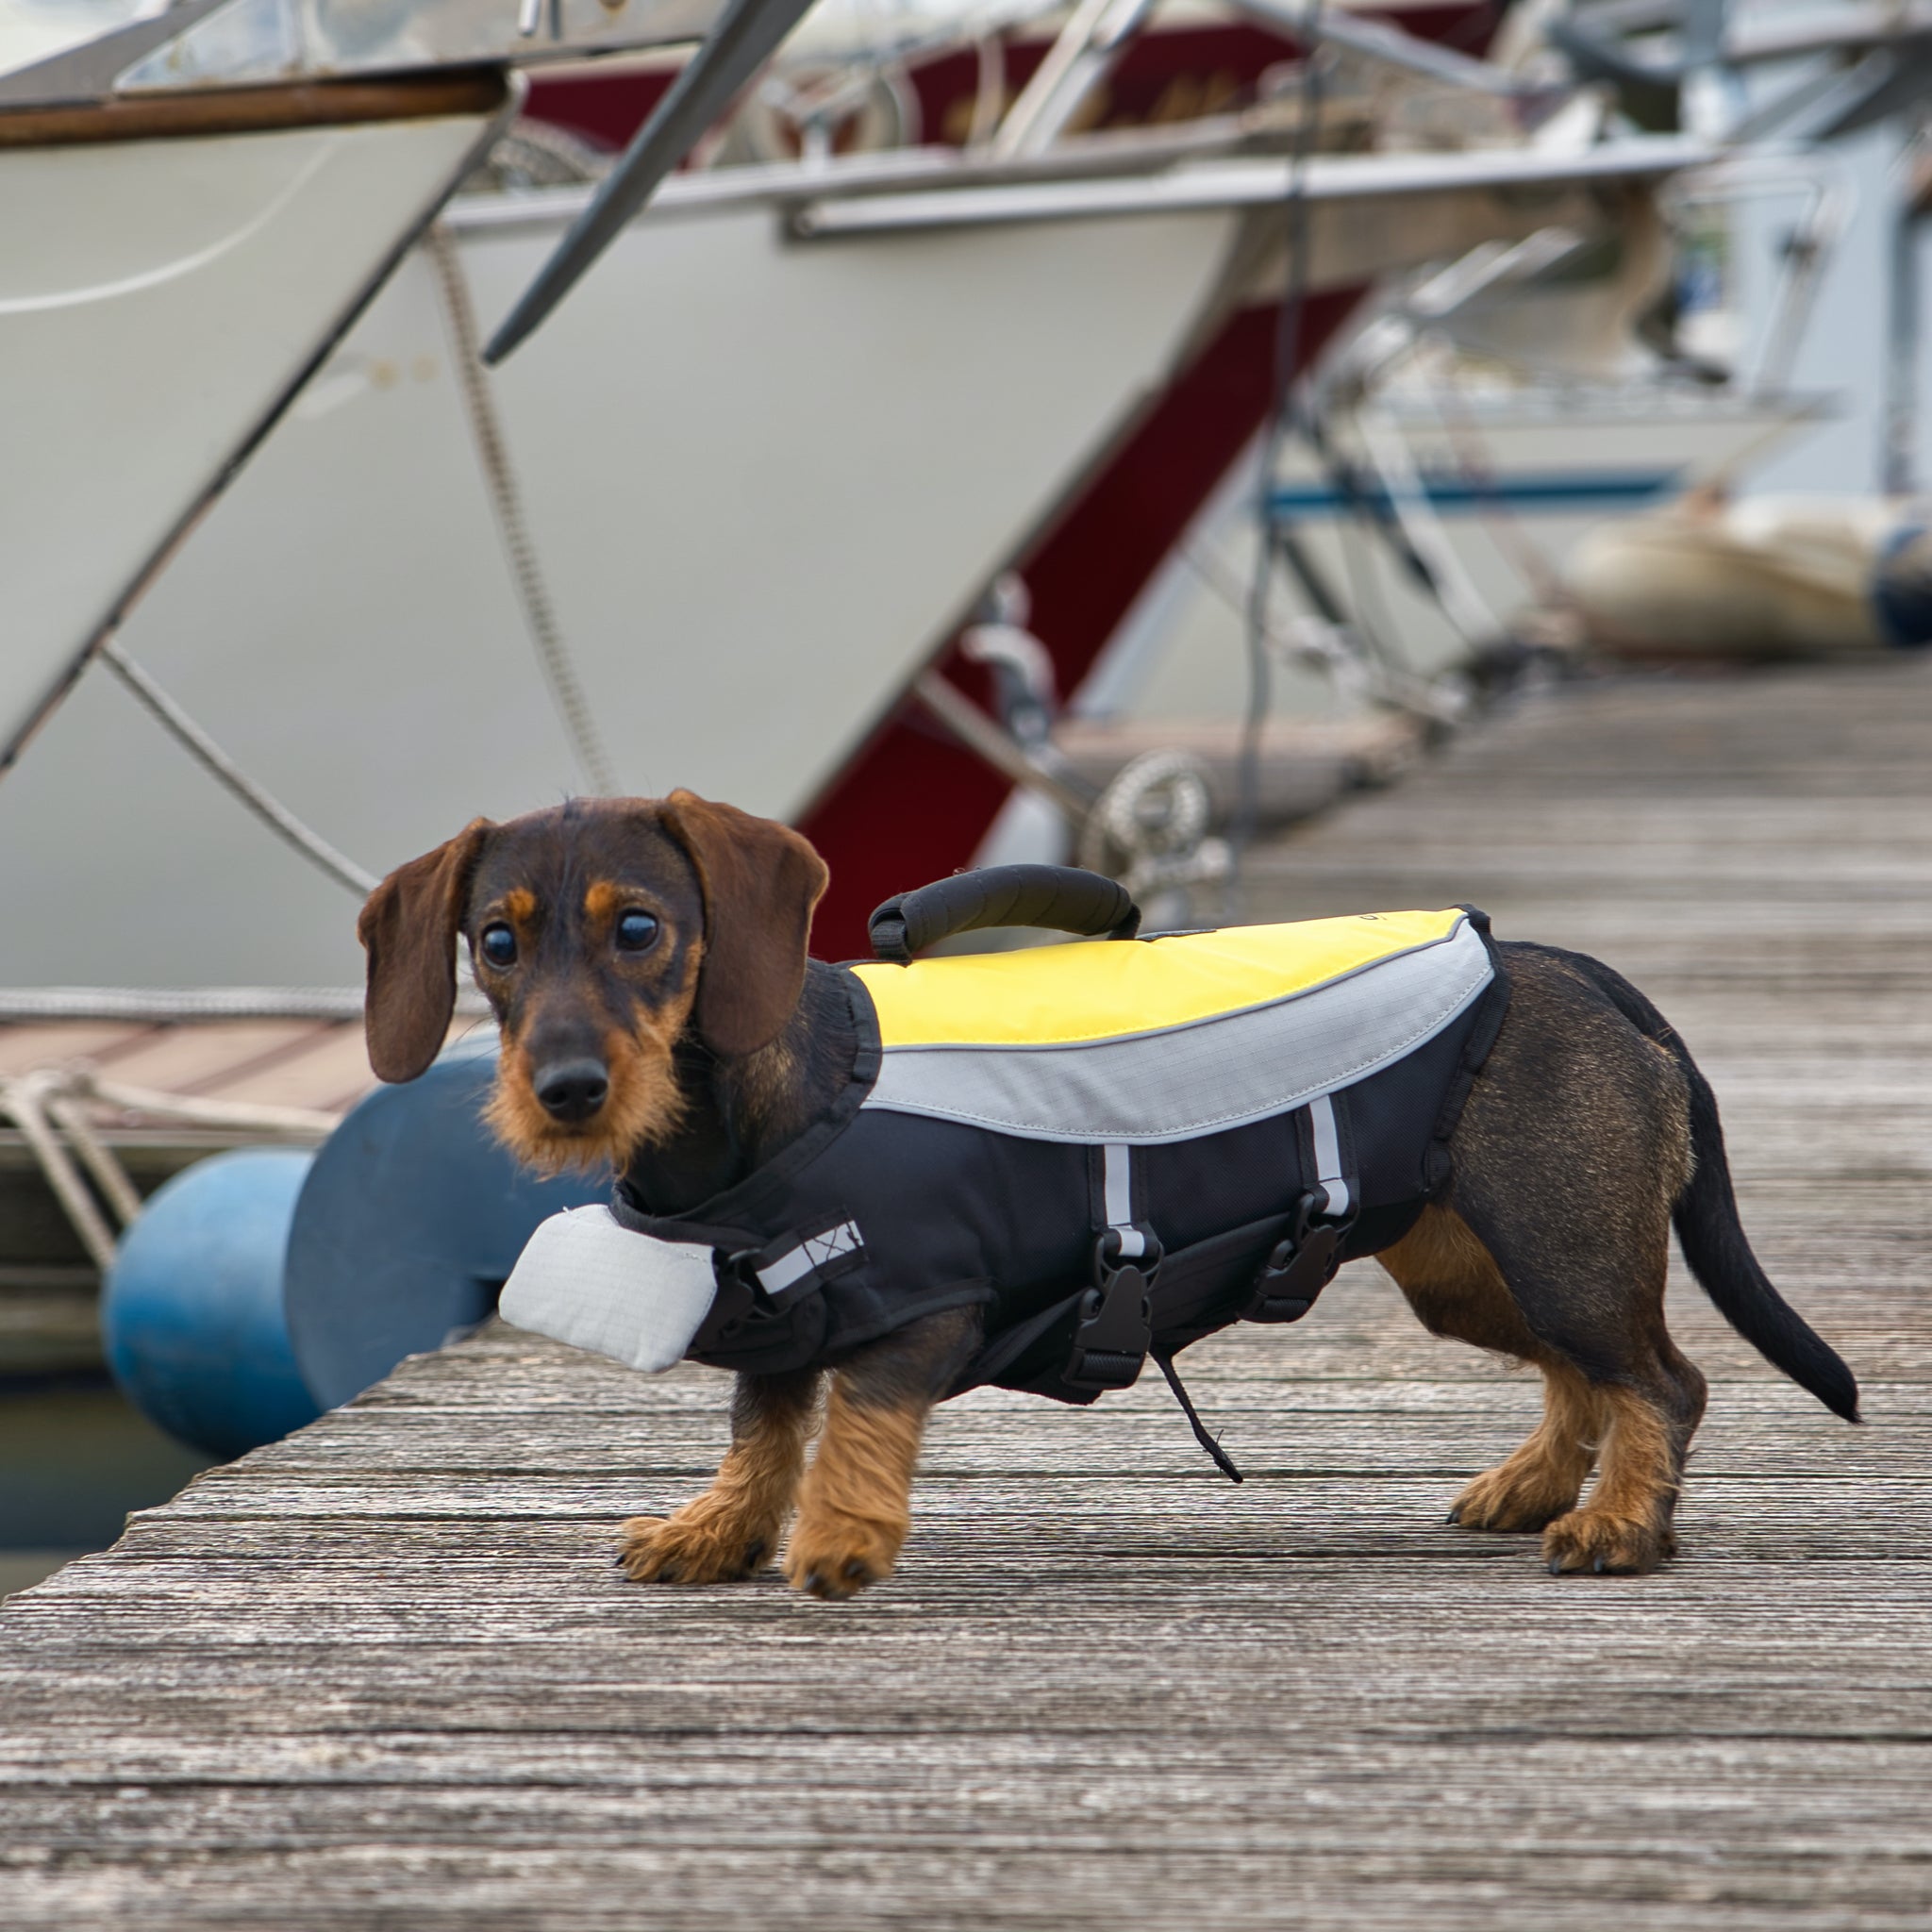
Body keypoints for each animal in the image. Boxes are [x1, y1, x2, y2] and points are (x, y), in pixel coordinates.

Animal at [358, 788, 1855, 1599]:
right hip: (1473, 1264)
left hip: (1559, 1241)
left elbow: (854, 1428)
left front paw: (839, 1540)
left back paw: (1618, 1524)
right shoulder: (777, 1324)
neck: (754, 1130)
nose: (564, 1090)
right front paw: (715, 1529)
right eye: (496, 943)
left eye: (639, 928)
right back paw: (1537, 1486)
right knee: (1580, 1375)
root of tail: (1573, 970)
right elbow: (763, 1431)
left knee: (1660, 1381)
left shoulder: (922, 1308)